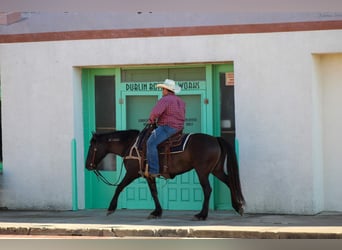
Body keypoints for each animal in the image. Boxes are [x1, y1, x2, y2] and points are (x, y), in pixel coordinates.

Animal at [85, 126, 246, 220]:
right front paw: (157, 212)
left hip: (202, 171)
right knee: (229, 182)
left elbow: (119, 187)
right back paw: (238, 207)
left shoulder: (131, 173)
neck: (130, 145)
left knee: (207, 189)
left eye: (92, 146)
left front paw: (110, 208)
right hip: (216, 170)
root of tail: (215, 139)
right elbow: (154, 192)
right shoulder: (148, 175)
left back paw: (202, 215)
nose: (87, 165)